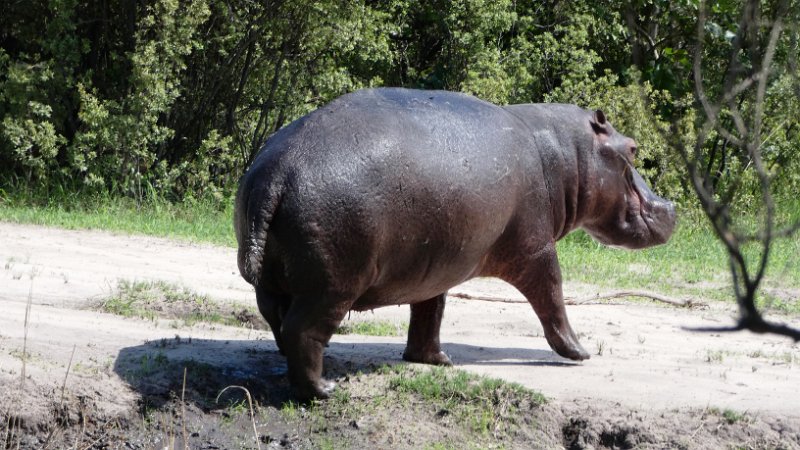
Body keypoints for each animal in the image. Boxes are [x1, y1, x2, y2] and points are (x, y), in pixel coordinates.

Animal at [235, 88, 676, 400]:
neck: (565, 154)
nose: (671, 208)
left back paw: (293, 368)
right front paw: (579, 353)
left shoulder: (437, 264)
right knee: (302, 330)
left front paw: (436, 361)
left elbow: (431, 310)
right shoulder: (536, 248)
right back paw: (324, 390)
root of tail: (276, 172)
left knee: (276, 318)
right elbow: (553, 296)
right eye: (632, 149)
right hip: (332, 285)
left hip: (277, 280)